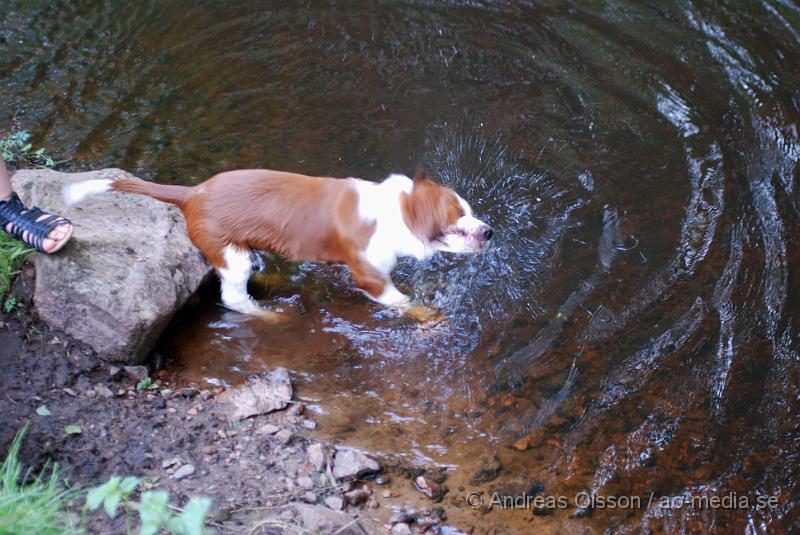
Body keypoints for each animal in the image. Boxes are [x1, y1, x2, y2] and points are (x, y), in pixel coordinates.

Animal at [65, 170, 490, 316]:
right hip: (231, 254)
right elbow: (405, 303)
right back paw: (268, 315)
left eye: (471, 212)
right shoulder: (370, 276)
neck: (394, 211)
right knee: (234, 299)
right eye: (456, 224)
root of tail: (192, 193)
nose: (489, 231)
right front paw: (428, 316)